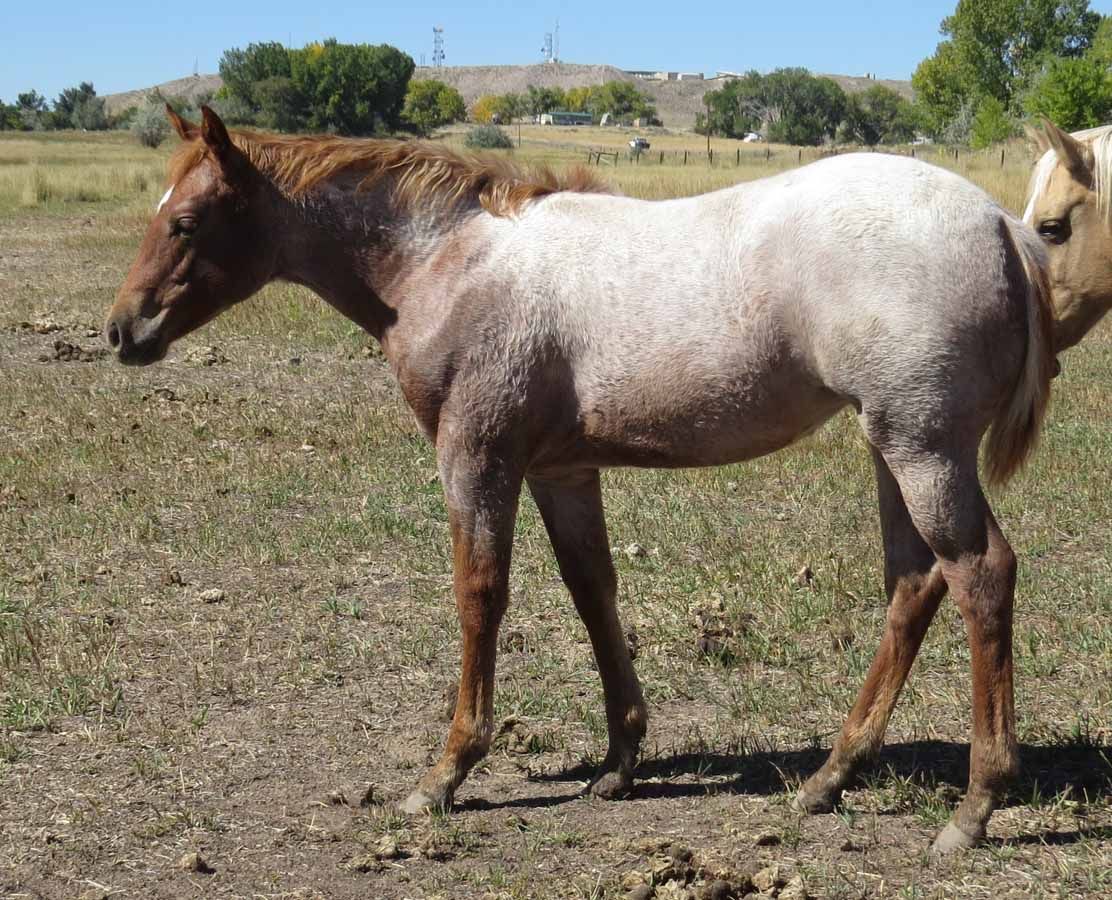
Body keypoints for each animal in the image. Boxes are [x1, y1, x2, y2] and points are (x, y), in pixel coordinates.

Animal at [105, 106, 1057, 853]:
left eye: (185, 221)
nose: (121, 329)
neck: (450, 264)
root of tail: (998, 223)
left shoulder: (477, 456)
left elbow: (480, 595)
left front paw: (446, 772)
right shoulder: (562, 470)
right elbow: (592, 589)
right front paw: (619, 761)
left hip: (922, 447)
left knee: (980, 574)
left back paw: (974, 808)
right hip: (892, 446)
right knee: (914, 583)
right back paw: (829, 778)